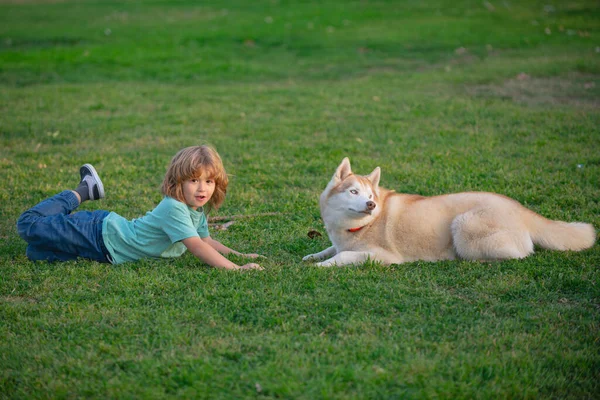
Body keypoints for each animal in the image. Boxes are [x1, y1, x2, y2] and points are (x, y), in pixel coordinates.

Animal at [304, 158, 596, 268]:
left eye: (371, 196)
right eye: (354, 192)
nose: (370, 205)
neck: (360, 226)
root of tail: (520, 208)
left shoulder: (382, 256)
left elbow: (345, 256)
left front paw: (322, 265)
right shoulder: (339, 241)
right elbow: (331, 248)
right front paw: (313, 256)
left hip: (464, 225)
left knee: (519, 254)